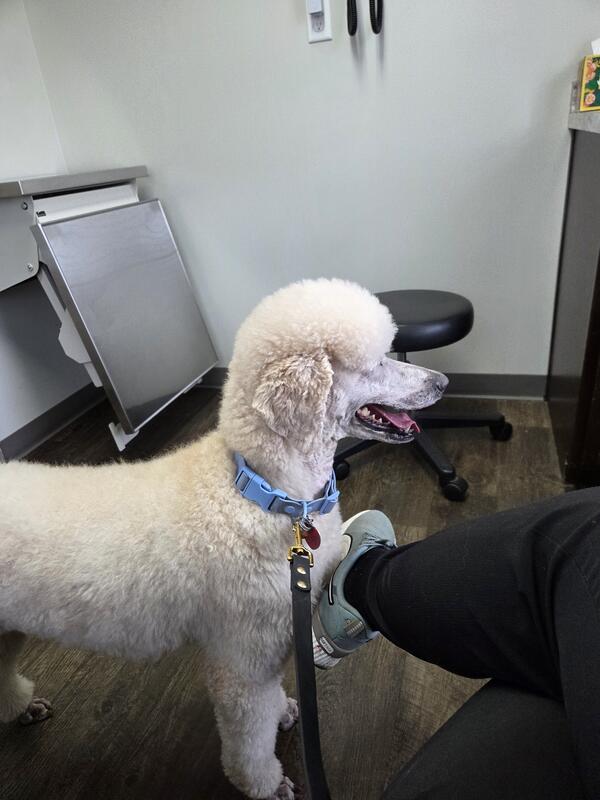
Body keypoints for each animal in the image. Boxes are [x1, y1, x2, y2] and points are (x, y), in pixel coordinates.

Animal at [0, 278, 447, 799]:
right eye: (375, 362)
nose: (443, 382)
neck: (266, 492)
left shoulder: (272, 639)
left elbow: (271, 700)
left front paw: (284, 712)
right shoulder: (242, 657)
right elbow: (249, 732)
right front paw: (266, 784)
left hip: (7, 629)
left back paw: (21, 708)